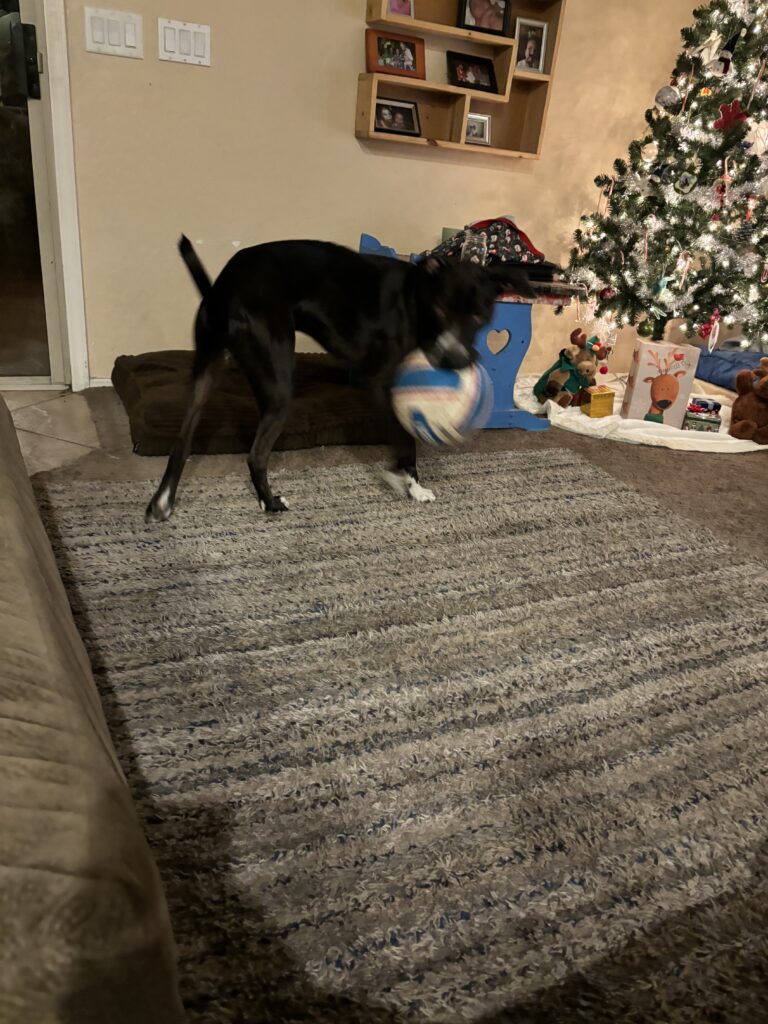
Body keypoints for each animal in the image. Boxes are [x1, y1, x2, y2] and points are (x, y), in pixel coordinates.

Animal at [146, 236, 535, 522]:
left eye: (480, 316)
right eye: (440, 308)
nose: (455, 360)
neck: (415, 300)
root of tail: (222, 288)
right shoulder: (380, 382)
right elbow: (405, 437)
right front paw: (408, 483)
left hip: (206, 372)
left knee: (182, 442)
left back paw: (162, 503)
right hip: (278, 384)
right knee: (255, 455)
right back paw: (271, 504)